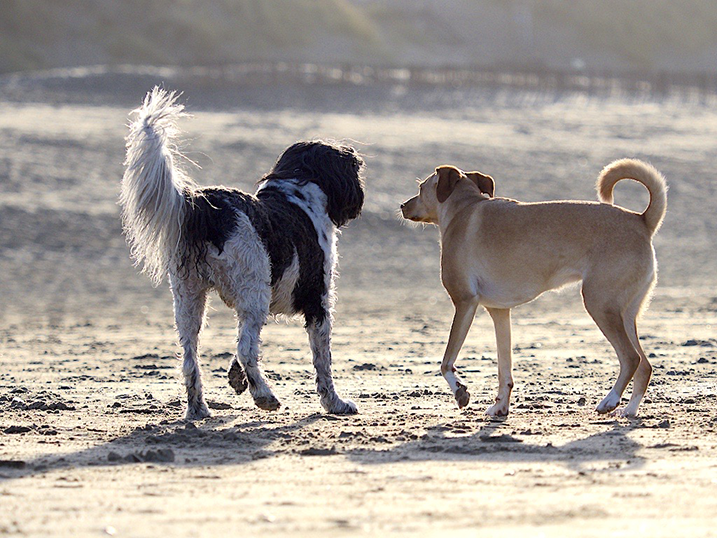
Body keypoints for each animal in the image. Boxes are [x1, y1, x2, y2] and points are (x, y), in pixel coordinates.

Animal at [120, 89, 364, 418]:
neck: (297, 192)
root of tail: (206, 207)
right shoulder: (318, 300)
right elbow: (322, 362)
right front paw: (335, 403)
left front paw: (236, 379)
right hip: (252, 295)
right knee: (246, 348)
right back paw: (264, 395)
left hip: (189, 297)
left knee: (190, 358)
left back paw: (198, 408)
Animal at [402, 157, 664, 416]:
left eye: (421, 188)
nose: (403, 205)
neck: (463, 208)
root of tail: (641, 220)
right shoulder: (499, 312)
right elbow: (504, 369)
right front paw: (500, 406)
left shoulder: (464, 302)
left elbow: (446, 362)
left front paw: (460, 392)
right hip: (625, 314)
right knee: (645, 365)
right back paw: (630, 409)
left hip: (600, 305)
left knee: (631, 358)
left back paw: (610, 400)